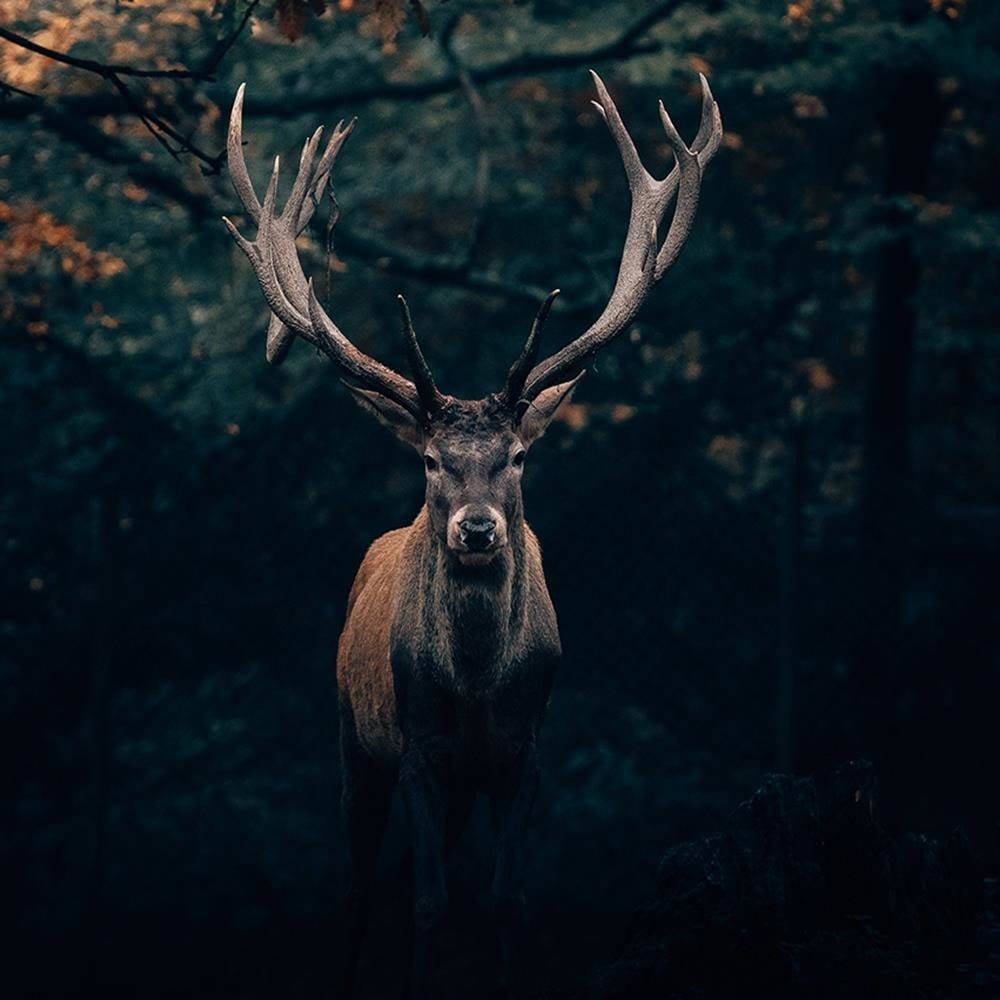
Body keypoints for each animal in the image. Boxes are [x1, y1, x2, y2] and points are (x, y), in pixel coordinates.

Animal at [223, 70, 721, 999]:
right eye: (429, 460)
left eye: (518, 455)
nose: (478, 529)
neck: (483, 687)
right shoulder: (421, 748)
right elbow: (428, 905)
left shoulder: (525, 754)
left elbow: (504, 903)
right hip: (353, 739)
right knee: (361, 886)